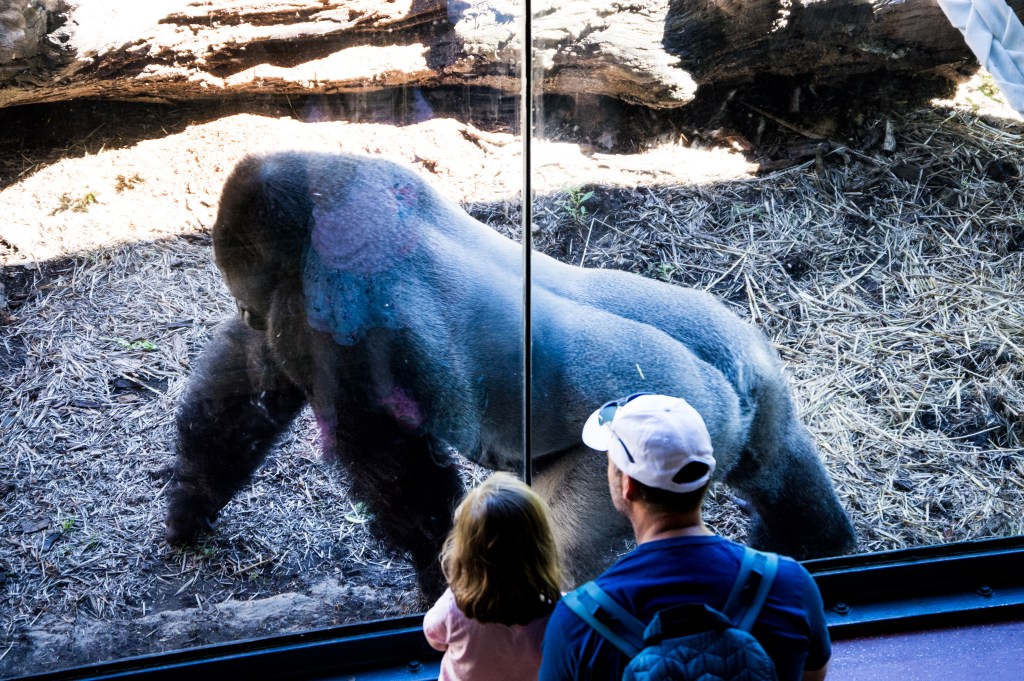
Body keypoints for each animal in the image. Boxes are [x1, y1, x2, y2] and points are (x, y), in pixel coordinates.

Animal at [166, 151, 855, 597]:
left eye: (241, 284)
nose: (246, 311)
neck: (323, 204)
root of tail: (728, 376)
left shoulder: (322, 308)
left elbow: (391, 461)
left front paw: (434, 576)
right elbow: (241, 400)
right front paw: (188, 508)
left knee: (560, 544)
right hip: (755, 374)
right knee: (780, 462)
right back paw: (817, 545)